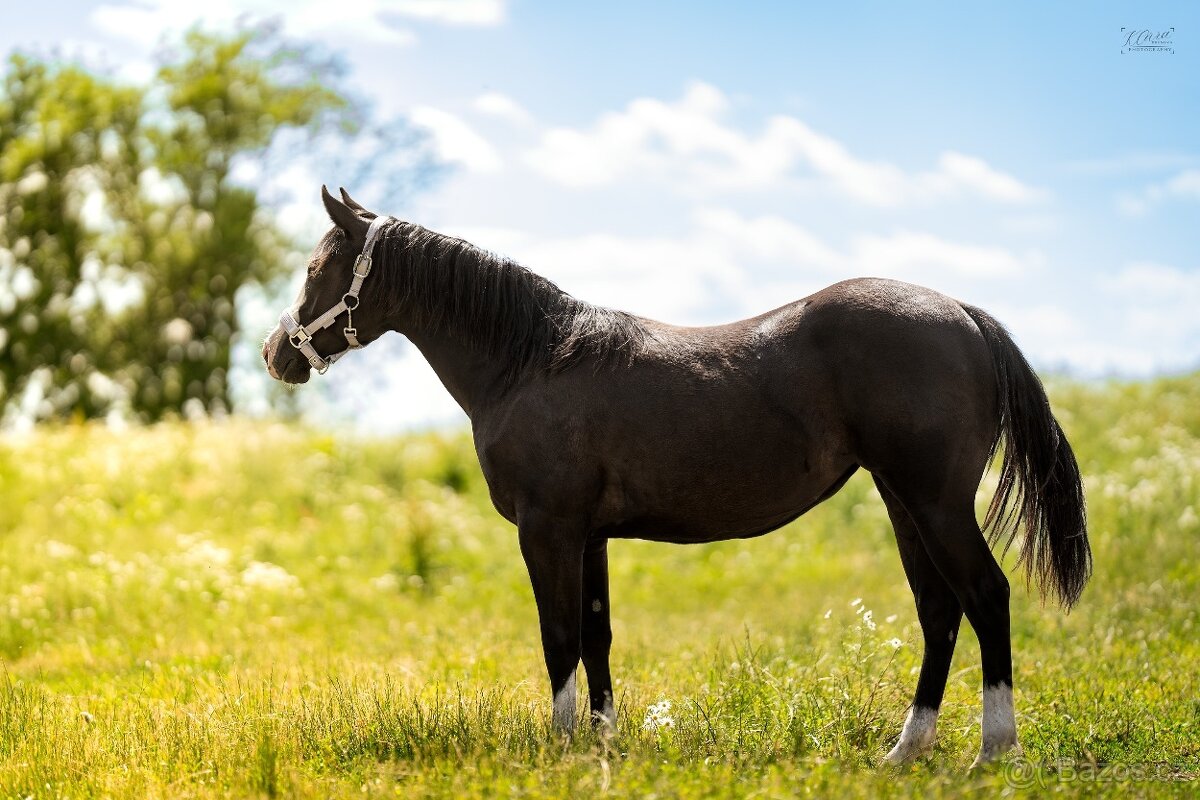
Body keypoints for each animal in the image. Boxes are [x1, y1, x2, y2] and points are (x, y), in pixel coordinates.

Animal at [262, 187, 1091, 767]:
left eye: (315, 268)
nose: (275, 354)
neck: (532, 360)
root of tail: (960, 312)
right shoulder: (590, 536)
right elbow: (597, 636)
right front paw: (601, 743)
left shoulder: (548, 530)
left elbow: (559, 636)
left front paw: (559, 746)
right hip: (902, 502)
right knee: (938, 612)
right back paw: (905, 750)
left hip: (935, 502)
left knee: (985, 597)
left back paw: (994, 750)